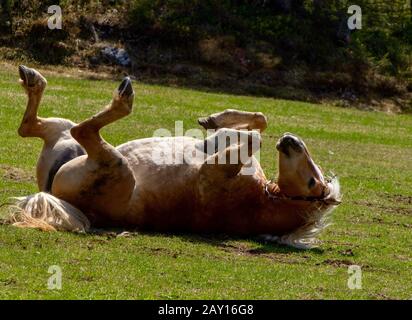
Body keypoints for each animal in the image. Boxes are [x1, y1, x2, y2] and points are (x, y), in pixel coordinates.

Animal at [8, 66, 342, 249]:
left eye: (313, 182)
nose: (291, 141)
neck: (263, 198)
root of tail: (51, 195)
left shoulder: (213, 174)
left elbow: (255, 137)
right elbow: (259, 122)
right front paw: (213, 119)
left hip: (115, 165)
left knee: (81, 129)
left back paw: (123, 96)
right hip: (63, 138)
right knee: (30, 126)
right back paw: (32, 79)